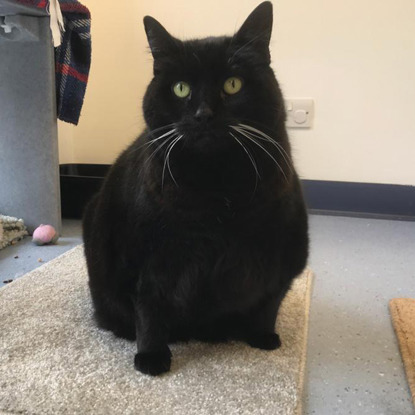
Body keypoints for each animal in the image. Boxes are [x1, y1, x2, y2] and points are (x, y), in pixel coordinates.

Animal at [83, 0, 308, 376]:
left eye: (232, 84)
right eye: (181, 88)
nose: (203, 114)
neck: (216, 189)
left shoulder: (284, 253)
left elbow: (270, 299)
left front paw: (262, 336)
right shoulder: (147, 257)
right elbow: (149, 306)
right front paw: (151, 357)